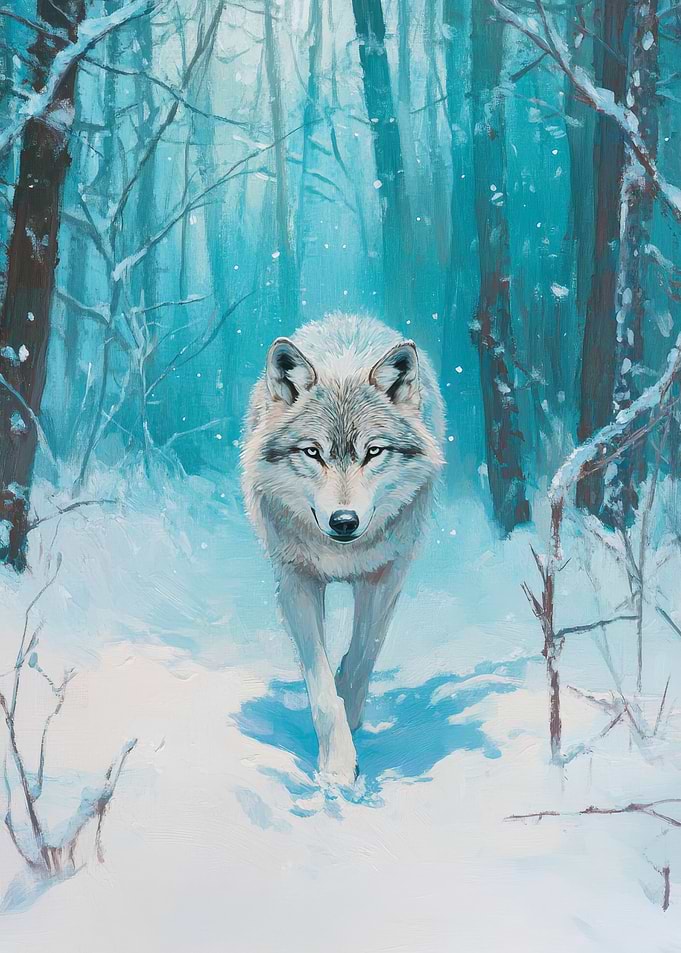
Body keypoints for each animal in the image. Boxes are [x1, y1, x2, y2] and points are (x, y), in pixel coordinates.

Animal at [241, 313, 445, 787]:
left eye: (374, 451)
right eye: (313, 452)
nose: (344, 521)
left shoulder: (384, 576)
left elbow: (361, 660)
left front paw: (351, 722)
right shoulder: (296, 580)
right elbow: (321, 690)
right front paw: (336, 767)